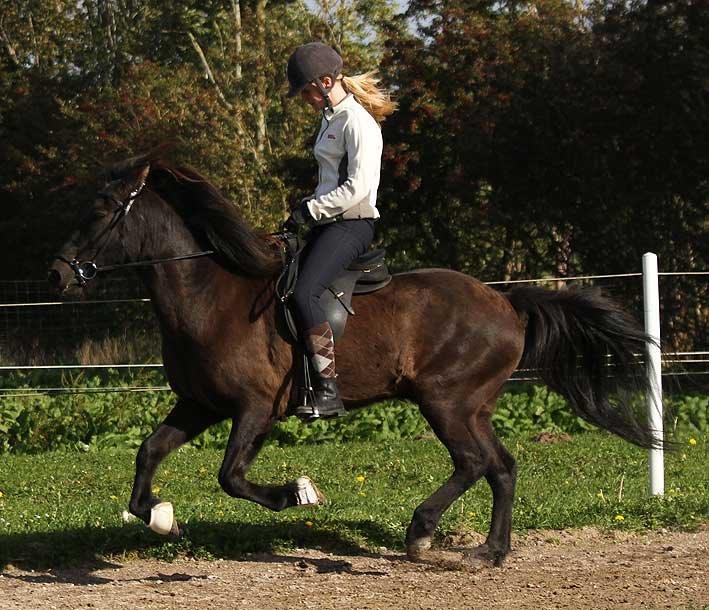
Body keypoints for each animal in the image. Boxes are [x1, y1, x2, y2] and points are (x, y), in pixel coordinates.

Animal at [47, 152, 660, 564]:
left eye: (100, 211)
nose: (56, 274)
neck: (208, 295)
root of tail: (506, 302)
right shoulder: (201, 404)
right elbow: (149, 453)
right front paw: (162, 518)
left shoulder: (254, 409)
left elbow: (232, 477)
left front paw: (298, 492)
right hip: (474, 406)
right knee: (501, 466)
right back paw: (490, 551)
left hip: (446, 401)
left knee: (473, 462)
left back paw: (422, 531)